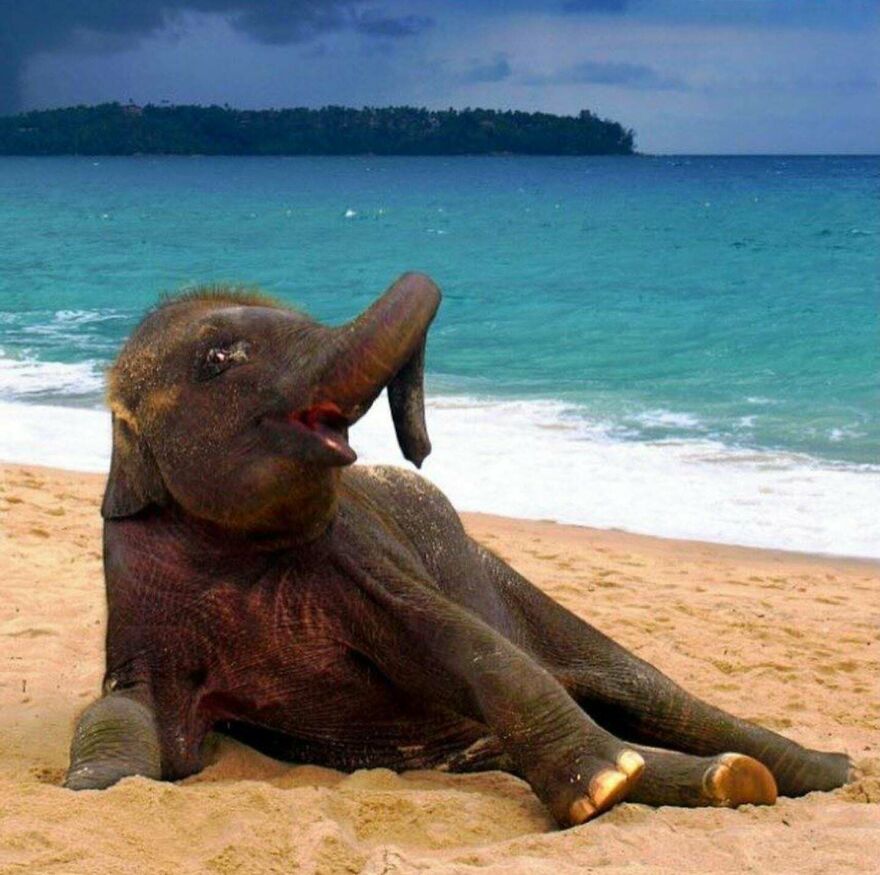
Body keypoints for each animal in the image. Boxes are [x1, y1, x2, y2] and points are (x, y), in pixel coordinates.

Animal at [64, 272, 852, 828]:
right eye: (218, 358)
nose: (419, 451)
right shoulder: (136, 596)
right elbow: (127, 708)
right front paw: (96, 785)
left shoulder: (363, 557)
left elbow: (464, 644)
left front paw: (600, 786)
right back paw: (730, 778)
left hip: (511, 582)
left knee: (653, 693)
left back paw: (820, 772)